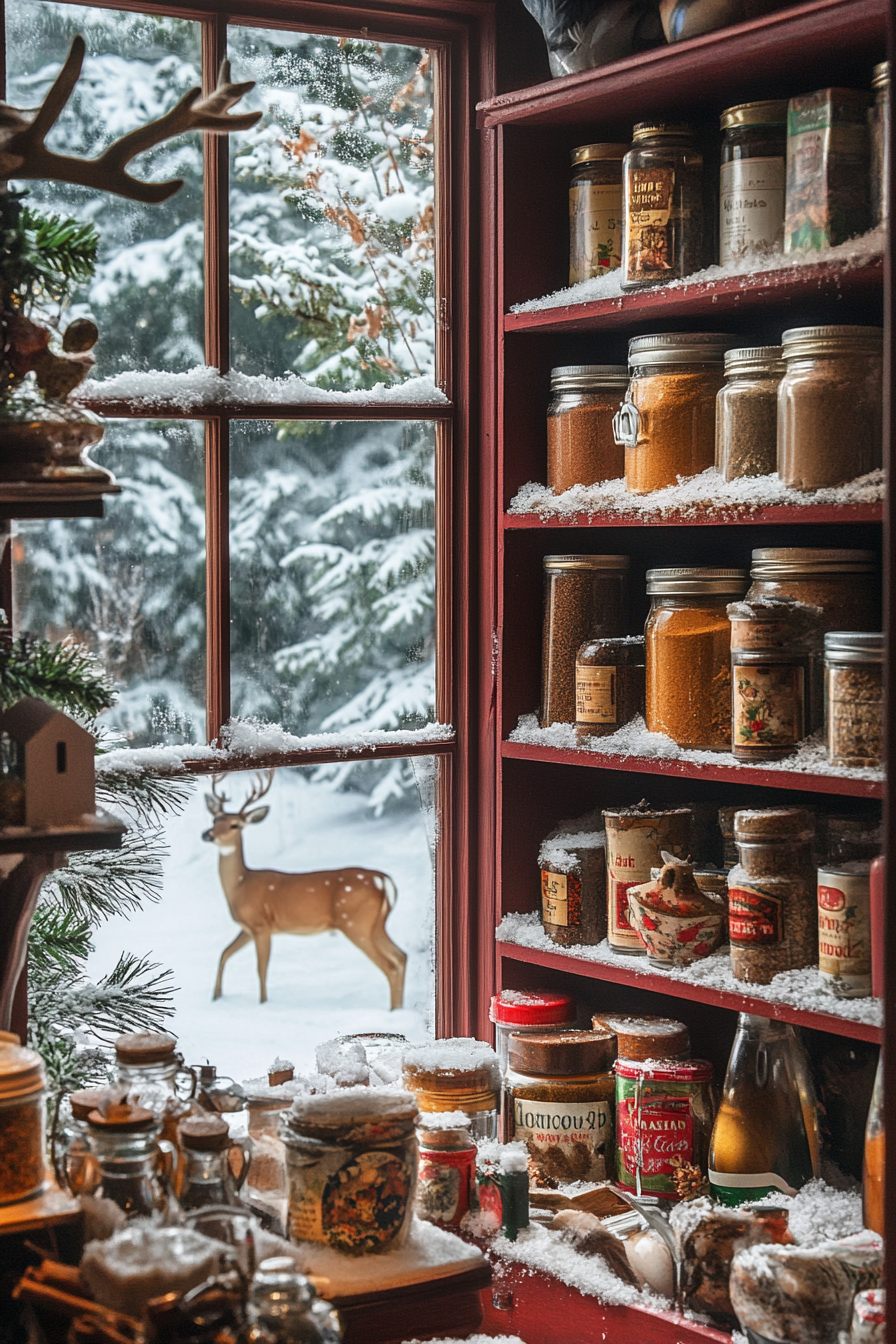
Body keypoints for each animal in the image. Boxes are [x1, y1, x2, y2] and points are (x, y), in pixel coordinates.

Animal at [202, 779, 405, 1010]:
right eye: (215, 819)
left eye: (235, 825)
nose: (207, 835)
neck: (240, 885)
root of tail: (384, 881)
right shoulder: (247, 928)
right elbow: (224, 953)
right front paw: (216, 996)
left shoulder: (261, 925)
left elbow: (261, 968)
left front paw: (263, 1004)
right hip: (377, 925)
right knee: (401, 957)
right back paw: (400, 1009)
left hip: (356, 923)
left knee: (390, 965)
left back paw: (393, 1012)